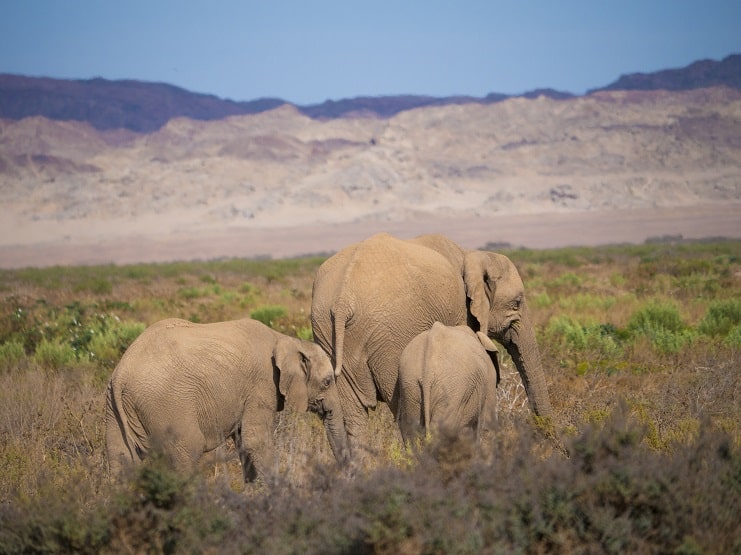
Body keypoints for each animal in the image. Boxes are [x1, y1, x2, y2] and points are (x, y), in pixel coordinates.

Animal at [105, 317, 349, 482]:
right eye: (327, 381)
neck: (285, 339)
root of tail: (121, 374)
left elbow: (243, 441)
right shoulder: (261, 385)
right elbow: (255, 440)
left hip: (113, 408)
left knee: (120, 459)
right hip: (168, 406)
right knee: (188, 451)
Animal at [311, 232, 555, 457]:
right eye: (517, 303)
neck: (470, 254)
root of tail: (343, 300)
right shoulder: (459, 310)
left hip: (327, 331)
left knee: (349, 415)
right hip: (392, 334)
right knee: (399, 410)